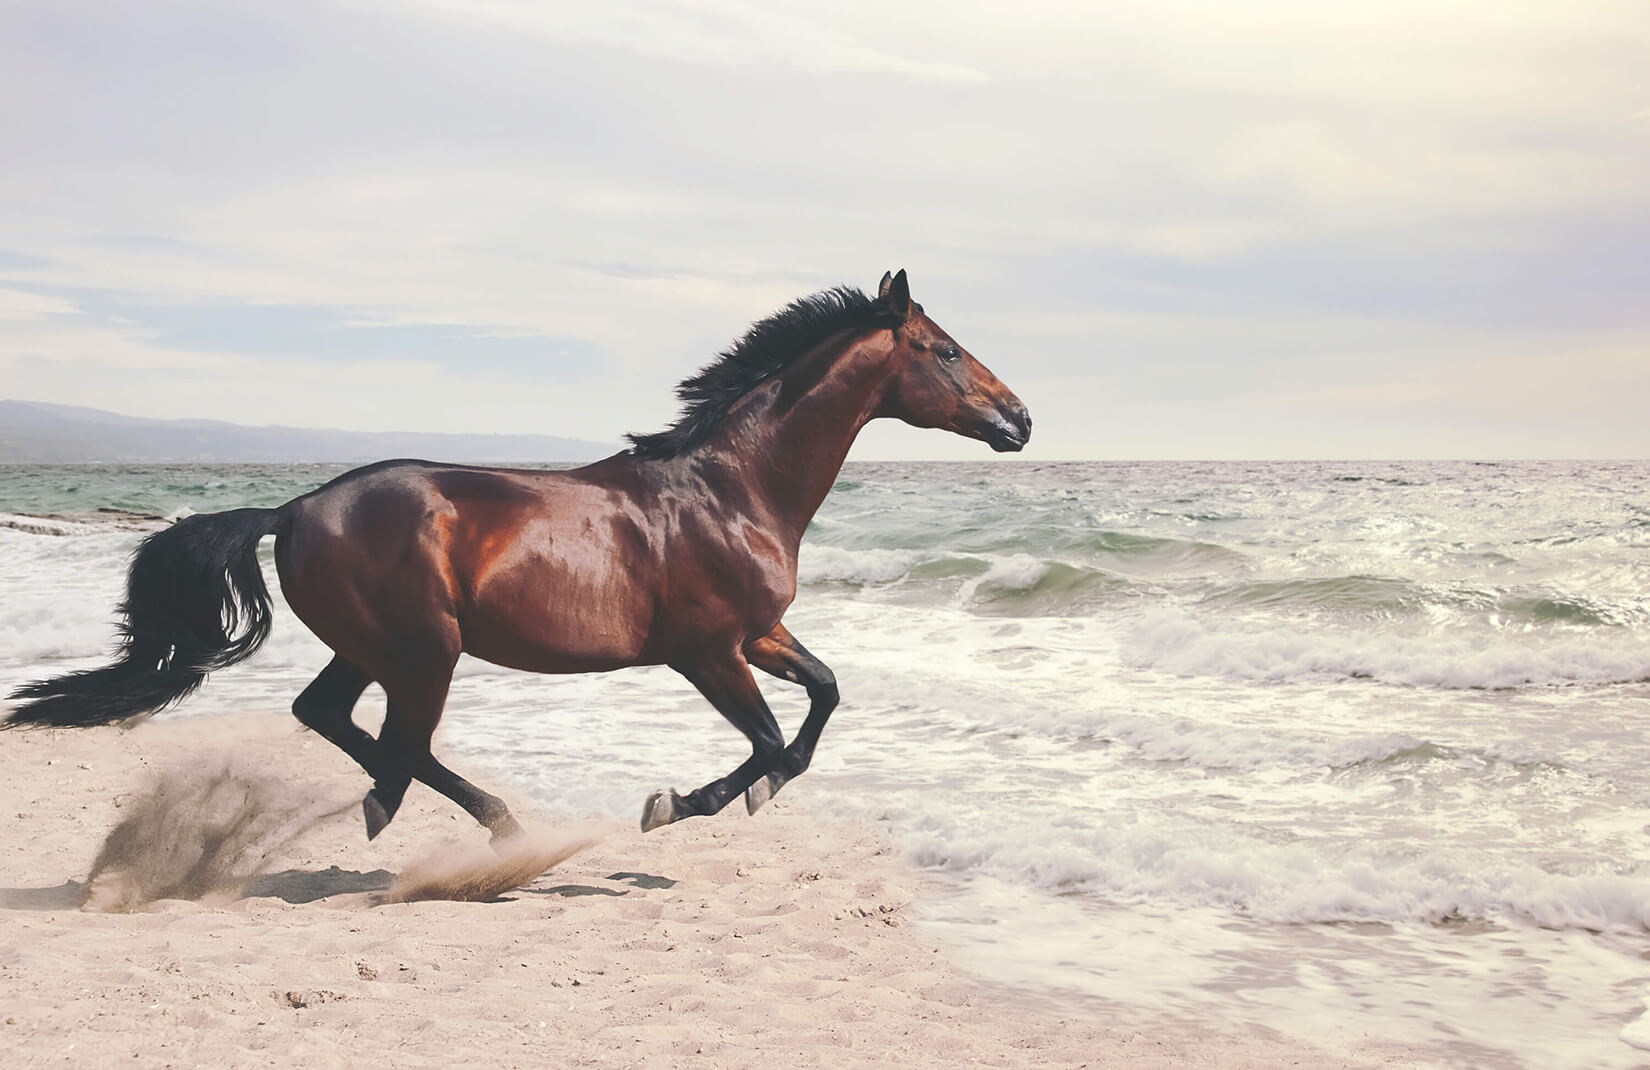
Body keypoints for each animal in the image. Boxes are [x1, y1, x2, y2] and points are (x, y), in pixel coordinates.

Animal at [4, 269, 1031, 841]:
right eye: (943, 350)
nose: (1020, 419)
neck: (731, 488)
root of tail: (295, 507)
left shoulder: (760, 633)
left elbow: (822, 696)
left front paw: (753, 793)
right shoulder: (706, 651)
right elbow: (771, 737)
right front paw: (678, 804)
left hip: (378, 647)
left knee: (335, 717)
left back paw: (455, 816)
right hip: (426, 649)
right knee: (397, 741)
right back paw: (445, 820)